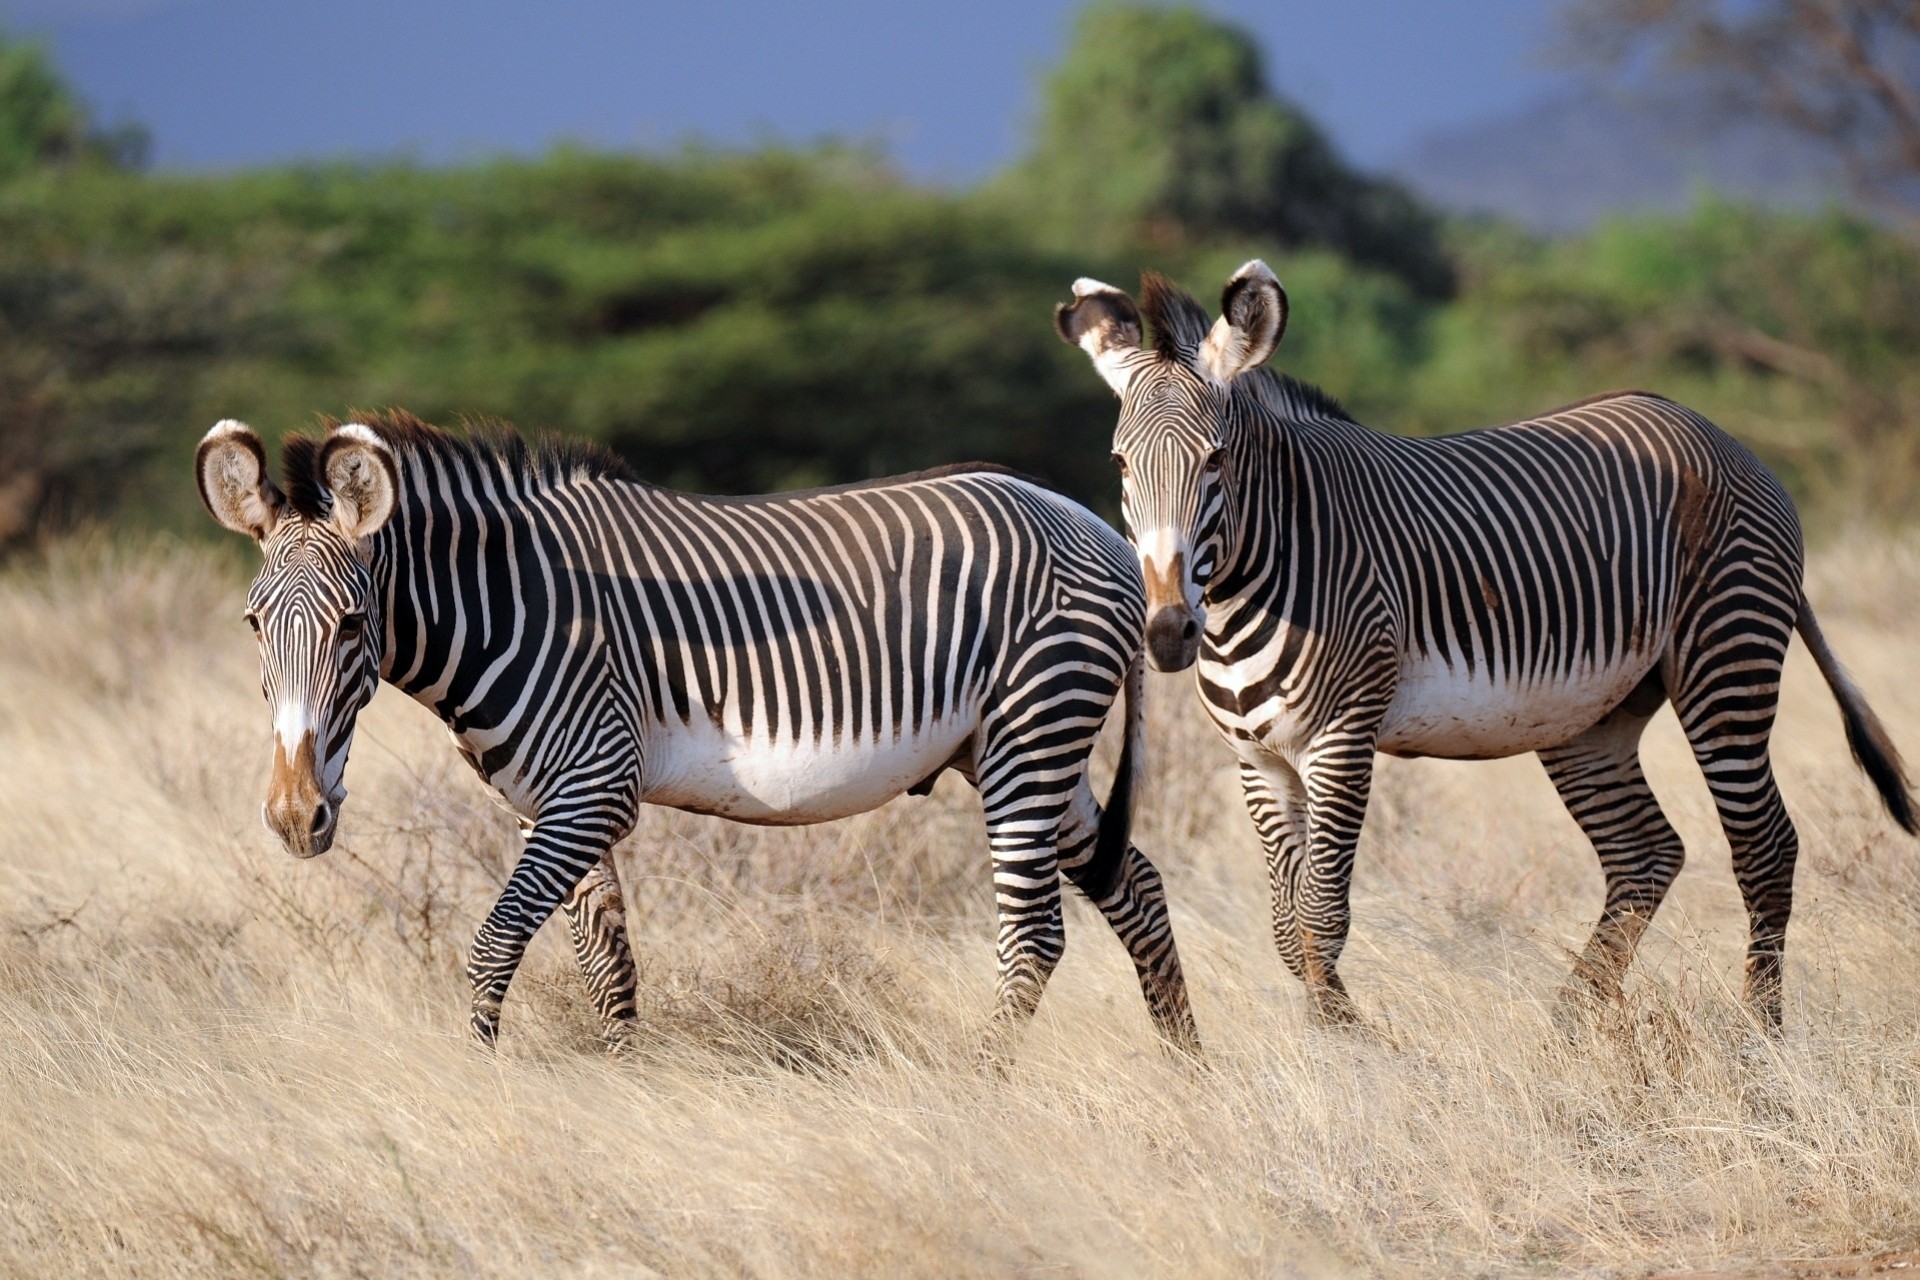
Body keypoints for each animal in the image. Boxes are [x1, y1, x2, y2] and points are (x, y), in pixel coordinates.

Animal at [187, 412, 1190, 1059]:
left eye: (354, 625)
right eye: (250, 624)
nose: (296, 817)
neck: (513, 606)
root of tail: (1096, 527)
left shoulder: (594, 786)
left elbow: (495, 943)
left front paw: (478, 1081)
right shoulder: (551, 805)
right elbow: (607, 968)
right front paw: (625, 1093)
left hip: (1034, 726)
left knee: (1035, 936)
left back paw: (982, 1086)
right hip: (1013, 748)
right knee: (1134, 885)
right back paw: (1187, 1070)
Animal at [1059, 264, 1912, 1036]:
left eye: (1216, 460)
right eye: (1121, 465)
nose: (1169, 631)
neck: (1256, 577)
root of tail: (1723, 437)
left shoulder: (1342, 738)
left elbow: (1319, 917)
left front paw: (1349, 1053)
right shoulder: (1257, 758)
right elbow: (1284, 926)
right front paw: (1331, 1039)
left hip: (1727, 659)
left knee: (1765, 847)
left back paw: (1759, 1035)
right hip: (1591, 718)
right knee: (1646, 854)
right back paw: (1565, 1031)